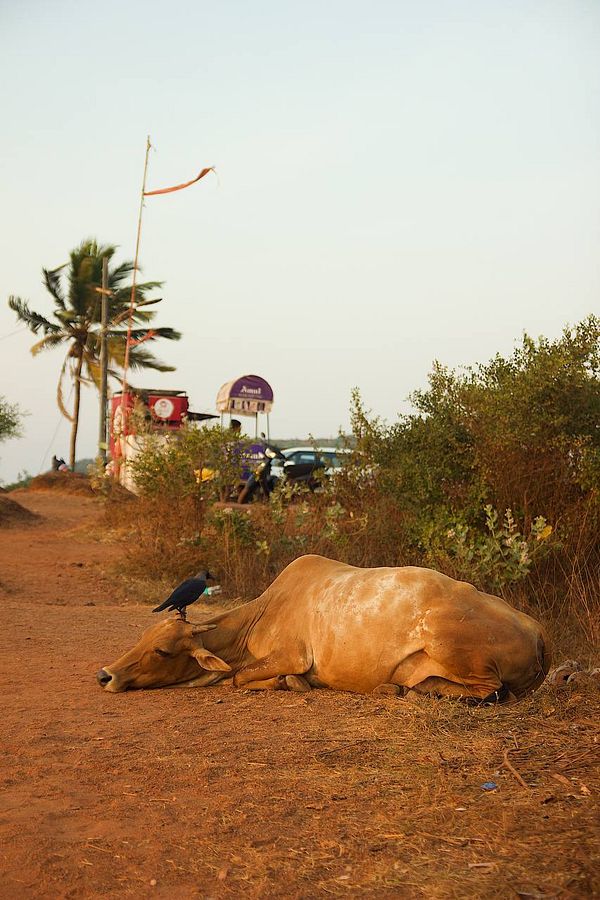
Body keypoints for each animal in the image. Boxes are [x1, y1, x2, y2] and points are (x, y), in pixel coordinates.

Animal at [97, 555, 550, 701]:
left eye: (162, 651)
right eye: (143, 638)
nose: (106, 674)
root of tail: (537, 627)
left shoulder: (292, 655)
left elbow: (242, 678)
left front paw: (290, 683)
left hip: (450, 642)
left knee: (490, 692)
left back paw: (407, 688)